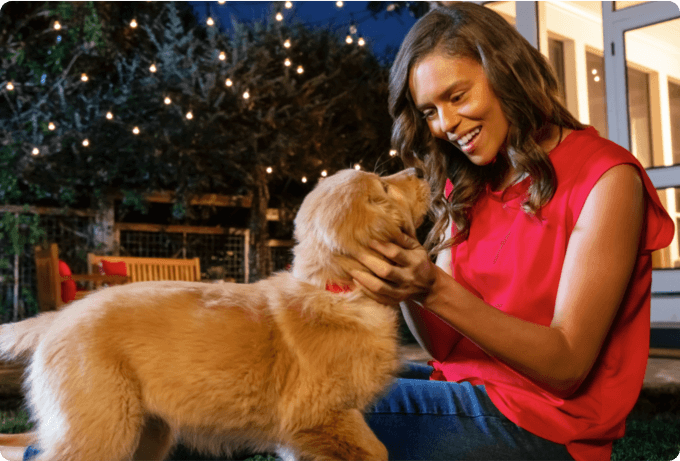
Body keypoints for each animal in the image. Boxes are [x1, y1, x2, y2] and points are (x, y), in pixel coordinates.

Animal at [0, 167, 430, 458]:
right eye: (385, 187)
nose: (419, 170)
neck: (336, 290)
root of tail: (59, 315)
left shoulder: (303, 437)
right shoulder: (324, 417)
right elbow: (378, 451)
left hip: (147, 432)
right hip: (101, 428)